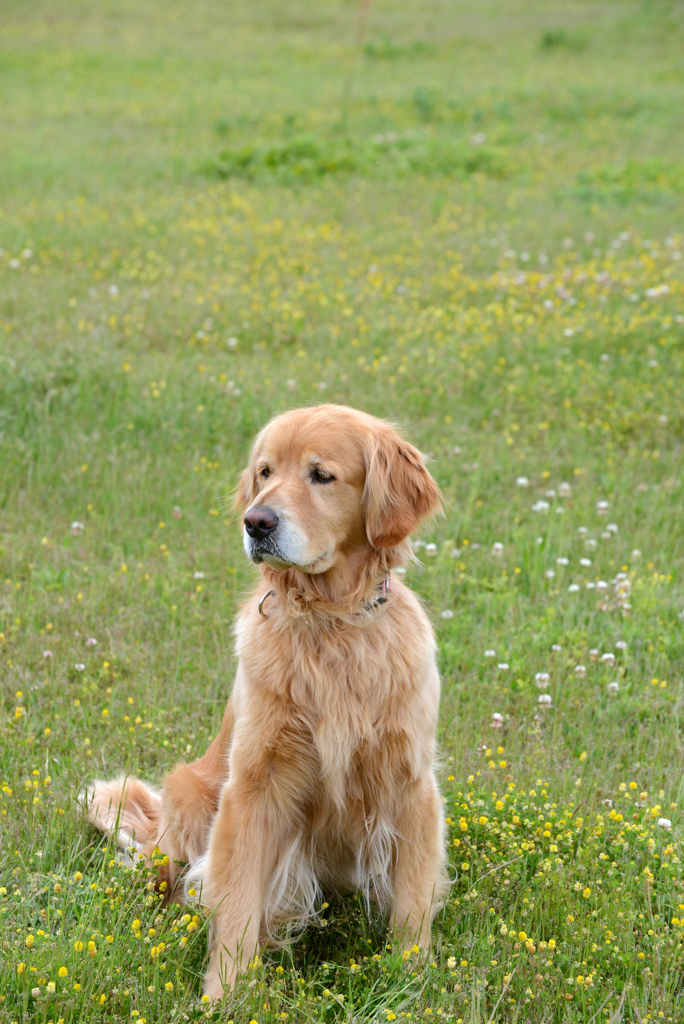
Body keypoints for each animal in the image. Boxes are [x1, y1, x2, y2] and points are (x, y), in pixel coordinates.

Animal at [85, 405, 448, 999]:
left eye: (321, 475)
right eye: (265, 472)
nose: (256, 522)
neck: (330, 622)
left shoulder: (410, 782)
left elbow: (413, 901)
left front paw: (411, 980)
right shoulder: (255, 786)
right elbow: (235, 906)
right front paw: (222, 995)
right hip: (187, 797)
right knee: (172, 880)